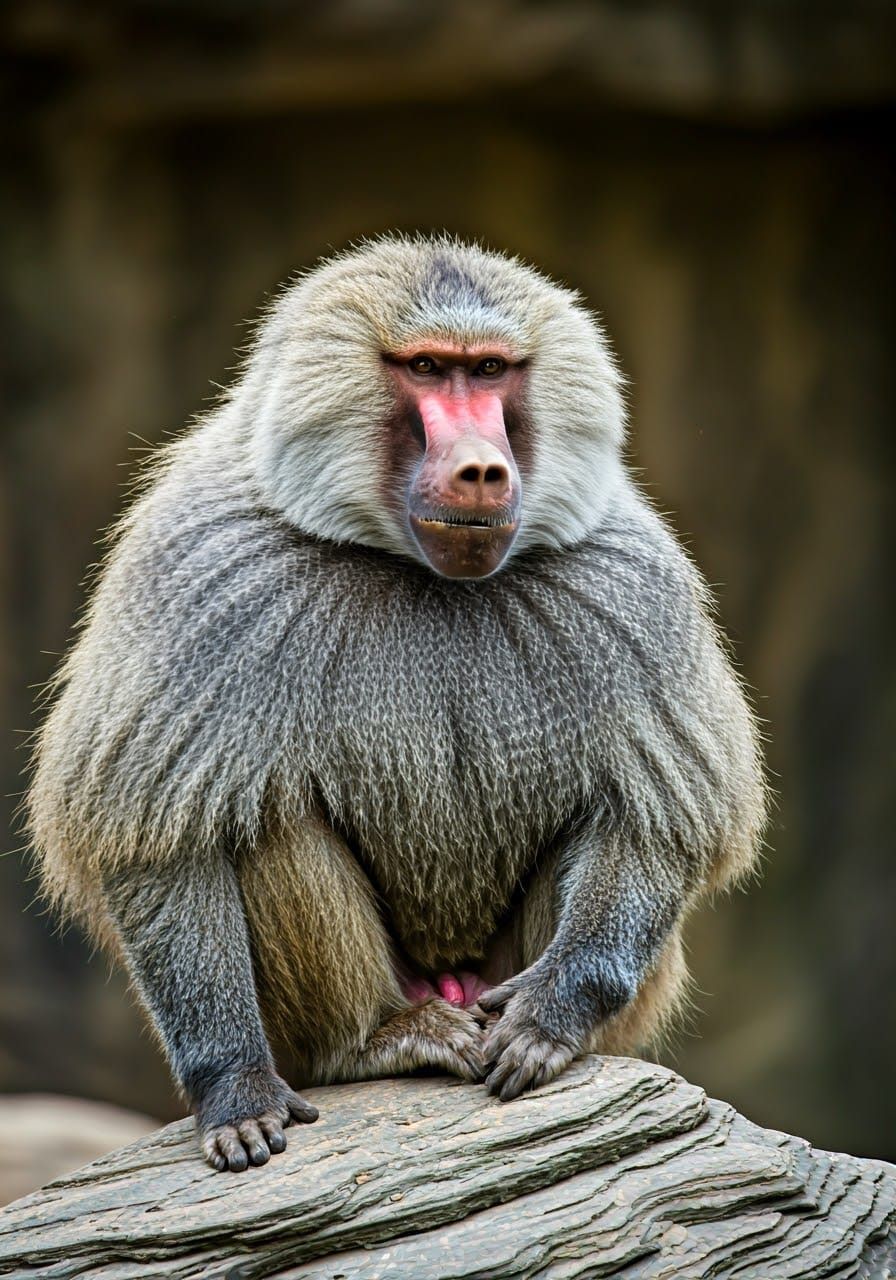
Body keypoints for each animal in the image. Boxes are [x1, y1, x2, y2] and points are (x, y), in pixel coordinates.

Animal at [27, 234, 767, 1173]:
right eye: (424, 369)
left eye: (488, 370)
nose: (482, 469)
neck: (415, 568)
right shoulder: (202, 570)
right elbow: (155, 838)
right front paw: (234, 1087)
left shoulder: (631, 587)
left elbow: (655, 816)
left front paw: (550, 1017)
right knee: (267, 820)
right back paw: (379, 1039)